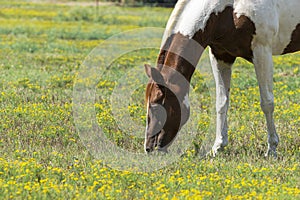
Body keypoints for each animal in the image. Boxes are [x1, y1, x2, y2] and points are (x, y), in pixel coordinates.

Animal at [144, 0, 298, 156]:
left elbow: (267, 103)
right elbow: (222, 102)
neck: (229, 9)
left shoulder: (262, 51)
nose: (149, 148)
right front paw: (218, 147)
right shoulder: (221, 55)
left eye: (155, 106)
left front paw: (272, 149)